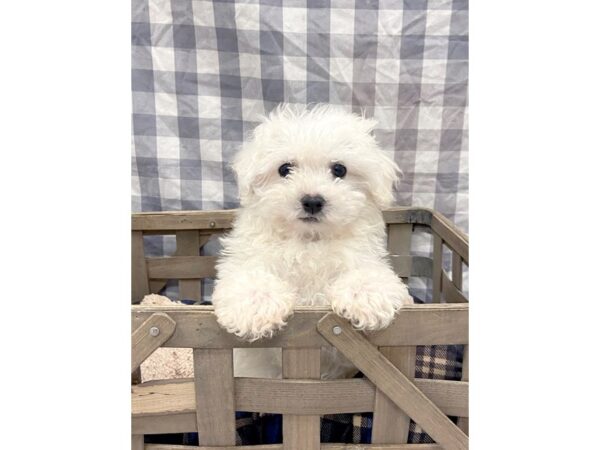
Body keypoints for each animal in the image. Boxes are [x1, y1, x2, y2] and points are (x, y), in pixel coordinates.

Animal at [211, 103, 412, 362]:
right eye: (285, 169)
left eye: (339, 169)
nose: (313, 201)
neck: (309, 240)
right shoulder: (247, 258)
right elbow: (248, 277)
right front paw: (256, 305)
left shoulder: (363, 255)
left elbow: (369, 273)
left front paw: (367, 296)